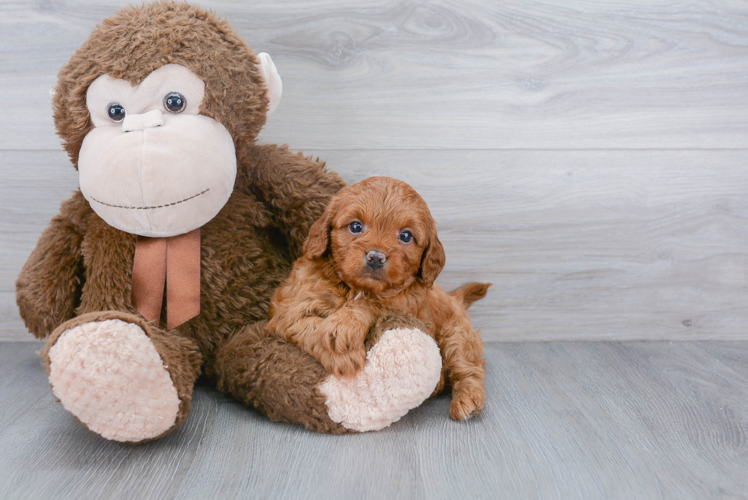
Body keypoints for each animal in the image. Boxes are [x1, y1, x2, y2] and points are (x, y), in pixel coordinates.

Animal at [268, 178, 490, 420]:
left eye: (406, 236)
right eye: (356, 226)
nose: (375, 257)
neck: (358, 288)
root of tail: (455, 298)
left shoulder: (406, 302)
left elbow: (374, 304)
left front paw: (344, 325)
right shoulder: (291, 309)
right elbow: (309, 326)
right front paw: (341, 355)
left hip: (456, 334)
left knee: (468, 368)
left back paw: (466, 399)